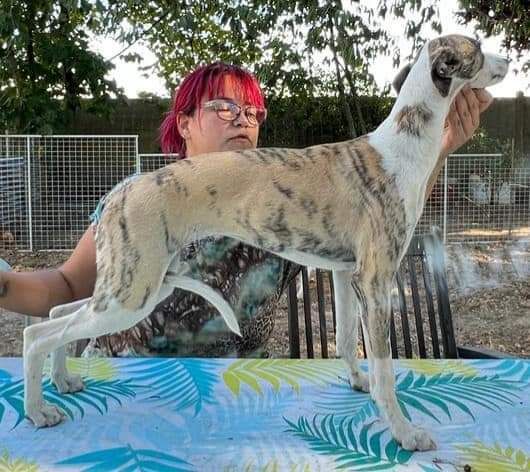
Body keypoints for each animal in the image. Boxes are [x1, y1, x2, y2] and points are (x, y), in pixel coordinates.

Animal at [23, 34, 507, 451]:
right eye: (478, 48)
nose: (508, 63)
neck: (400, 148)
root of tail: (119, 193)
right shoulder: (375, 279)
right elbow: (386, 370)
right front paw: (405, 433)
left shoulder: (344, 272)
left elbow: (346, 338)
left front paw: (358, 382)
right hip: (132, 292)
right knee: (37, 332)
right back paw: (38, 411)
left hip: (138, 284)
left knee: (59, 313)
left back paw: (63, 382)